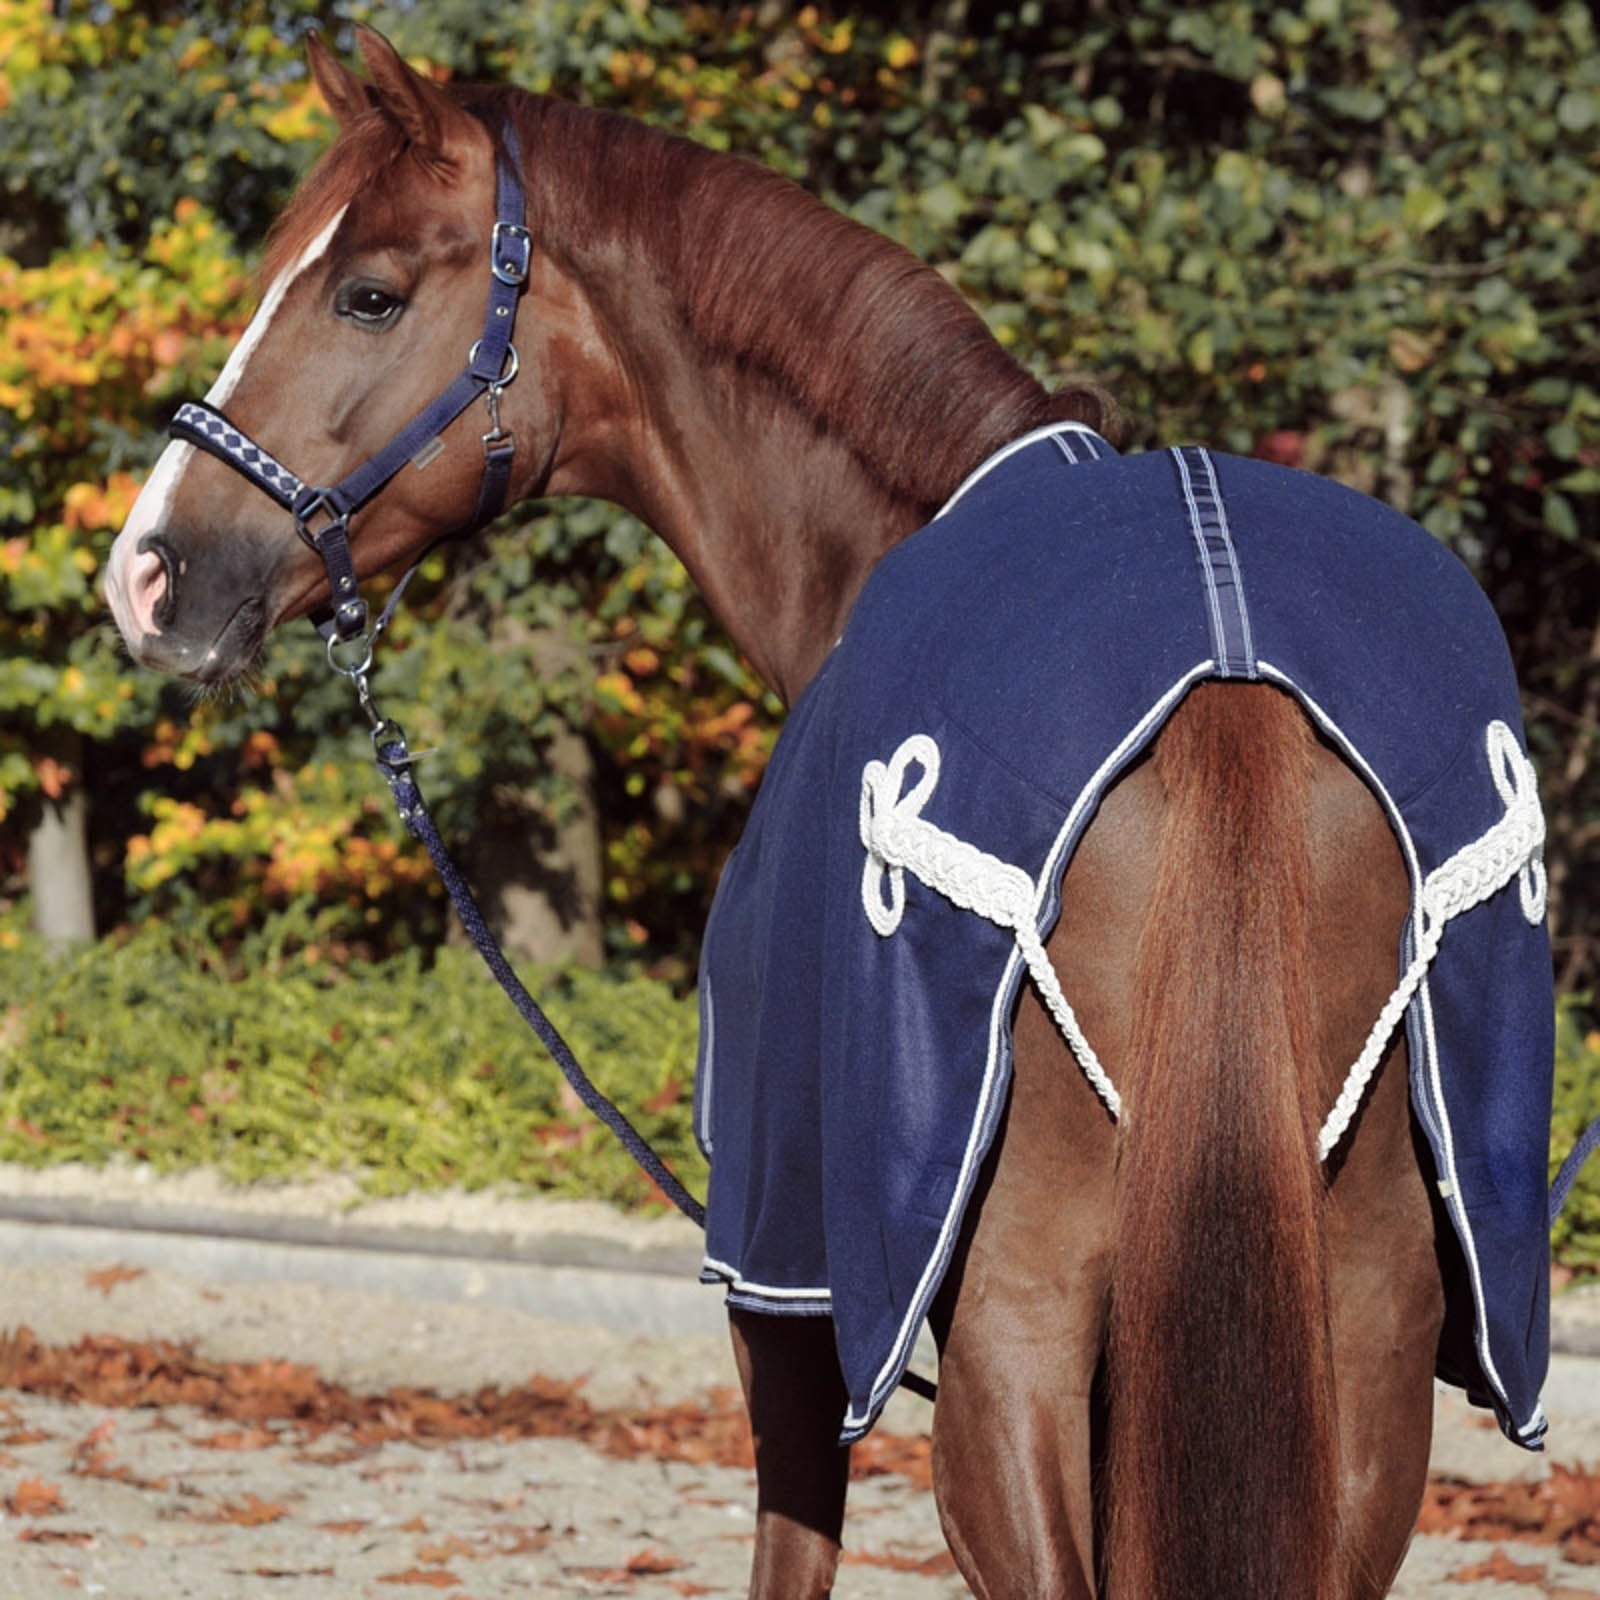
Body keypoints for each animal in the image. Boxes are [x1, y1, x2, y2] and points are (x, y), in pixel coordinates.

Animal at [103, 28, 1556, 1599]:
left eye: (367, 292)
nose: (150, 572)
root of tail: (1232, 678)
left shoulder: (783, 1284)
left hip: (1011, 1340)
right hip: (1361, 1340)